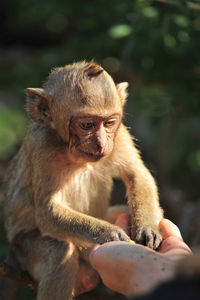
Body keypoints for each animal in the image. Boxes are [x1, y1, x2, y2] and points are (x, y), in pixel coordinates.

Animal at [3, 59, 162, 298]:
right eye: (87, 125)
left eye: (108, 123)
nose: (101, 143)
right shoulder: (42, 146)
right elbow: (47, 211)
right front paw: (108, 234)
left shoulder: (119, 135)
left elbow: (138, 175)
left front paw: (147, 228)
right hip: (22, 250)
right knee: (59, 251)